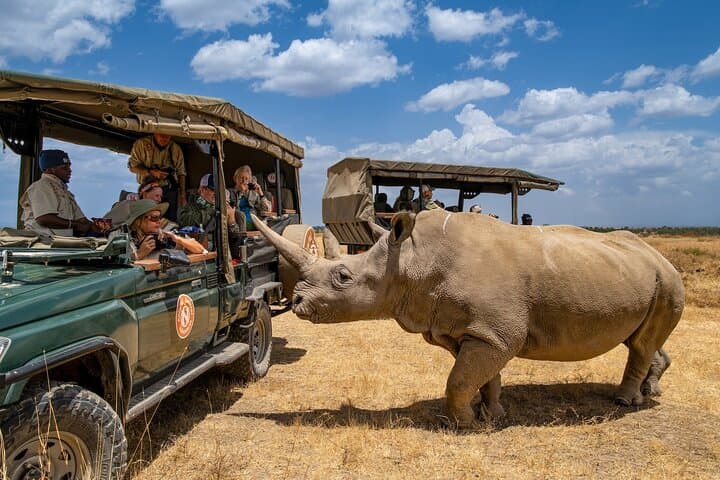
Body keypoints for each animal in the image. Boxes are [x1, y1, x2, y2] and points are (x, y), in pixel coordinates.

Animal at [253, 211, 684, 427]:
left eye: (343, 277)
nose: (297, 301)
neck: (411, 260)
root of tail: (661, 256)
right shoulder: (475, 331)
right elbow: (483, 377)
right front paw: (492, 415)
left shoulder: (494, 332)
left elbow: (458, 380)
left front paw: (463, 425)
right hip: (642, 275)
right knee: (642, 340)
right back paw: (652, 391)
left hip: (666, 279)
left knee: (641, 343)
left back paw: (625, 402)